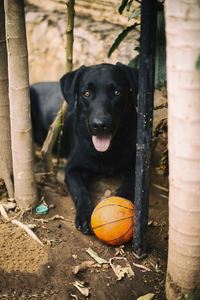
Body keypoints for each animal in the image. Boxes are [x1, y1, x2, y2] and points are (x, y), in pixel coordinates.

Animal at [30, 62, 138, 232]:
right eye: (86, 93)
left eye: (117, 92)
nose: (100, 125)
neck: (106, 153)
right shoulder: (73, 169)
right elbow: (80, 192)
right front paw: (85, 216)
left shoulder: (134, 165)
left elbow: (129, 185)